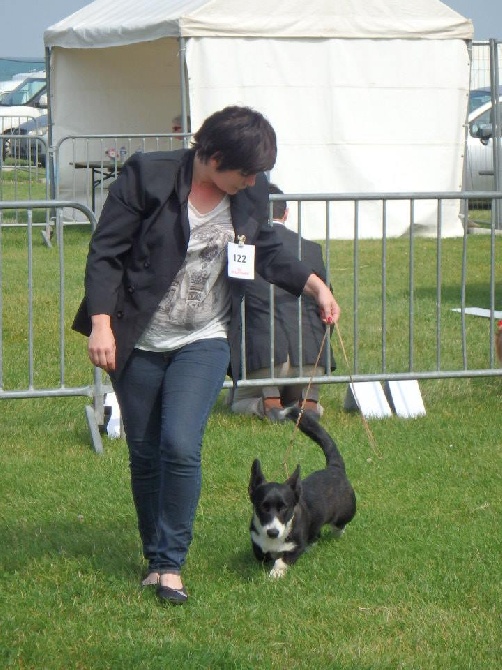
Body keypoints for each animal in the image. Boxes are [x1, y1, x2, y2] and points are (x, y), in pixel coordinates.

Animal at [249, 406, 354, 580]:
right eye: (262, 507)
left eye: (284, 508)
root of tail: (334, 468)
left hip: (343, 515)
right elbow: (262, 554)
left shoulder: (295, 546)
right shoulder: (257, 541)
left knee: (339, 526)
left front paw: (276, 573)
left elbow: (282, 559)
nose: (272, 532)